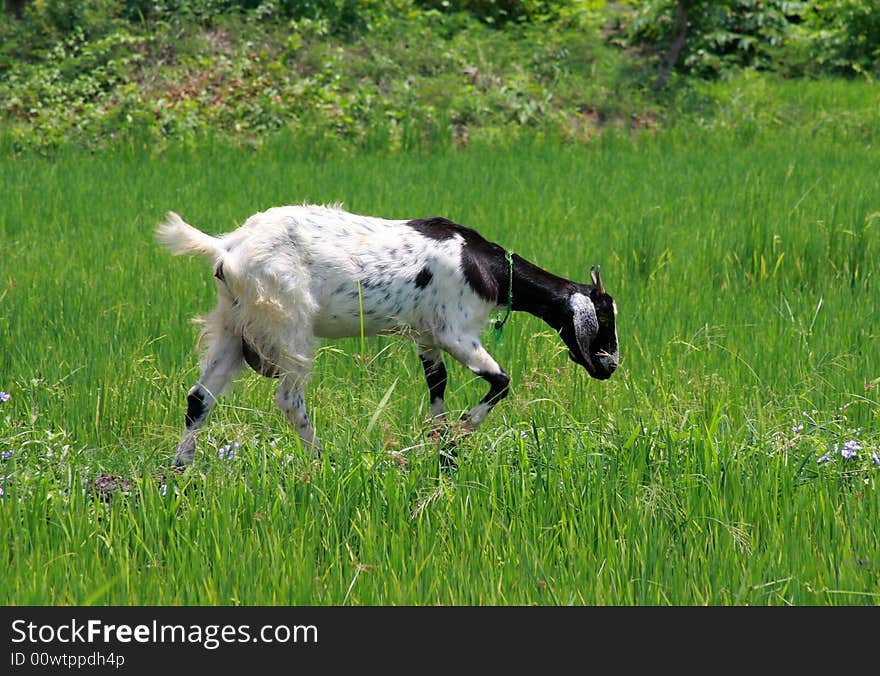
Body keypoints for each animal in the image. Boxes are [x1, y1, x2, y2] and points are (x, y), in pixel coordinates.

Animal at [155, 203, 620, 464]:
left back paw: (179, 472)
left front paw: (442, 452)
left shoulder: (426, 337)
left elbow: (438, 387)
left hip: (233, 327)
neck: (482, 264)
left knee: (200, 398)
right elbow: (502, 382)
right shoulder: (456, 332)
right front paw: (460, 433)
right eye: (605, 318)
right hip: (290, 326)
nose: (610, 366)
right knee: (288, 399)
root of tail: (227, 250)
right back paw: (322, 462)